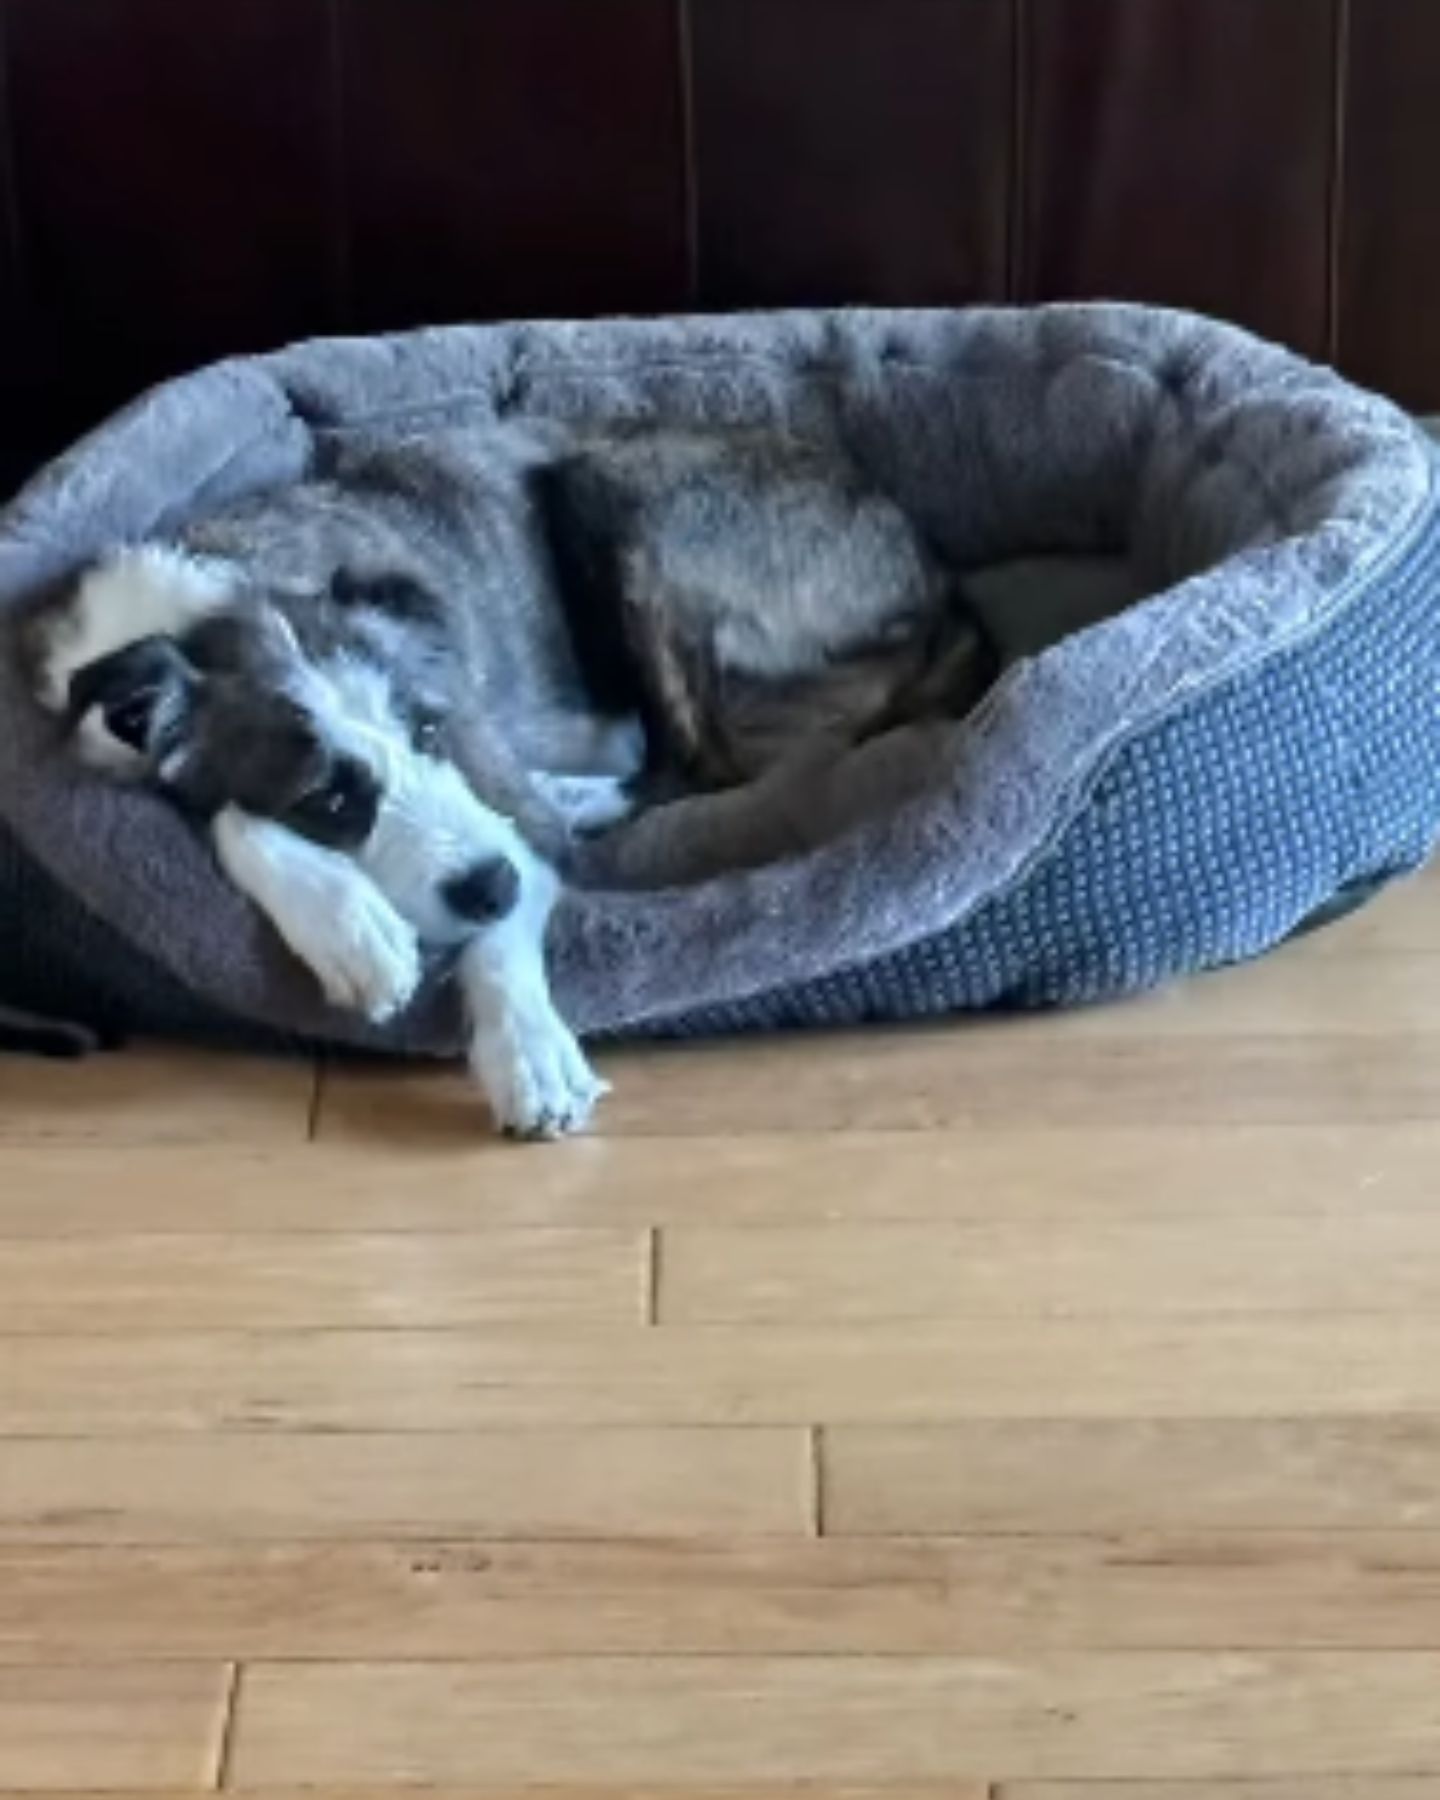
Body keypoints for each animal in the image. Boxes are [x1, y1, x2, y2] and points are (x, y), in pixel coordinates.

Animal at [22, 423, 993, 1137]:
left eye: (430, 727)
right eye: (328, 801)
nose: (490, 883)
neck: (212, 607)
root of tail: (943, 592)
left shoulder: (506, 803)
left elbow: (518, 893)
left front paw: (527, 1047)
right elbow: (228, 812)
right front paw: (347, 923)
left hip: (620, 498)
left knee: (691, 766)